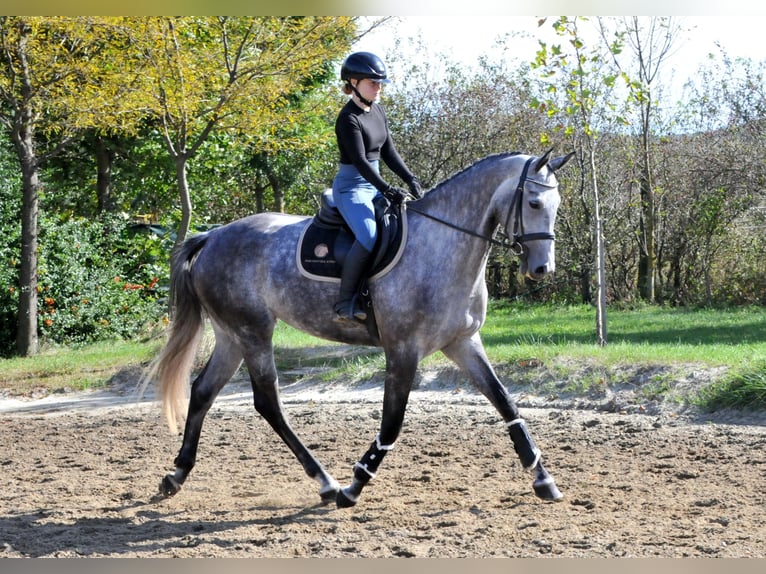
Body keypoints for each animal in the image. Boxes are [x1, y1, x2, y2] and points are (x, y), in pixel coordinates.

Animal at [142, 148, 576, 508]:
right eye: (534, 202)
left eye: (557, 205)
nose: (542, 269)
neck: (443, 244)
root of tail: (214, 235)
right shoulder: (403, 349)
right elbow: (392, 423)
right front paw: (355, 485)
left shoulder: (463, 342)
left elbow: (505, 403)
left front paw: (543, 480)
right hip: (253, 332)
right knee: (267, 402)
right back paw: (326, 482)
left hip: (232, 335)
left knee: (203, 391)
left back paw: (176, 474)